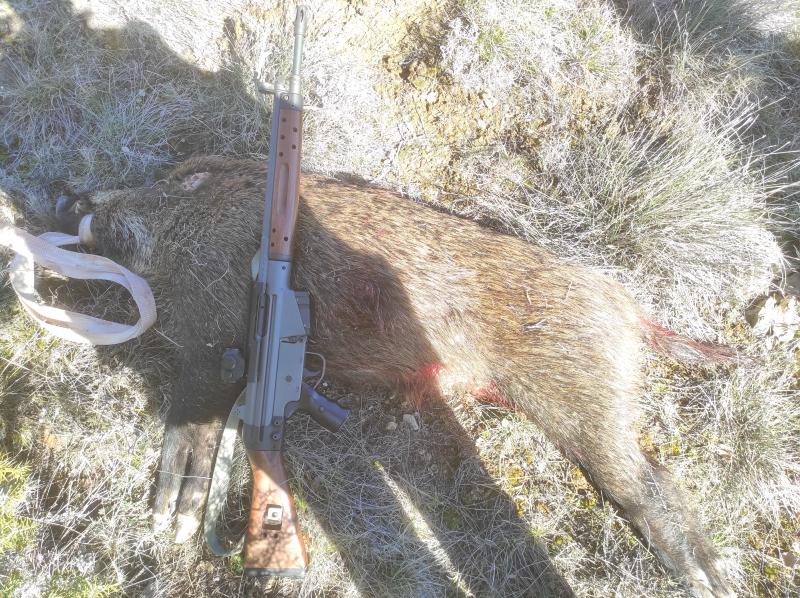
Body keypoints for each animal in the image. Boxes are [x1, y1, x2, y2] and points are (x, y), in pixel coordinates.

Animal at [56, 156, 740, 597]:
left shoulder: (214, 328)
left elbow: (190, 419)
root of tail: (632, 312)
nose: (68, 196)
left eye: (168, 184)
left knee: (652, 484)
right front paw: (172, 525)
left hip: (580, 397)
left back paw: (705, 580)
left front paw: (165, 521)